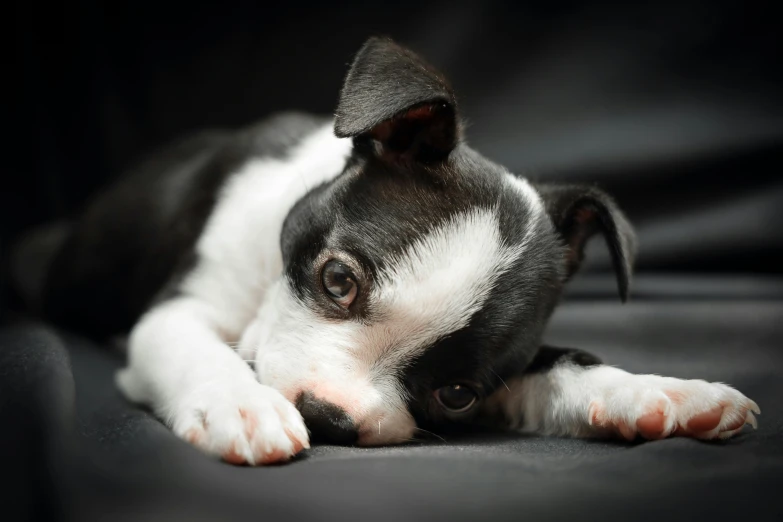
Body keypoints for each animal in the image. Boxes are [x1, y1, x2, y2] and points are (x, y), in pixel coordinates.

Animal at [41, 38, 760, 466]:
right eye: (337, 281)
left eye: (457, 396)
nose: (327, 417)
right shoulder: (179, 310)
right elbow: (197, 347)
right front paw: (240, 405)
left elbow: (567, 365)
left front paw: (660, 391)